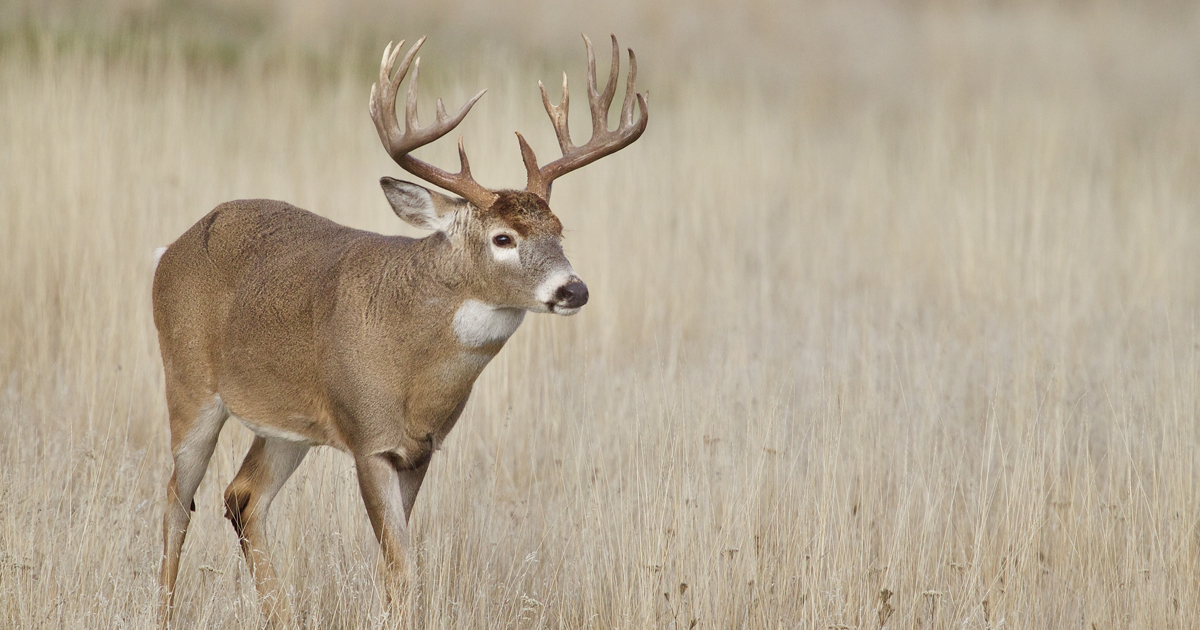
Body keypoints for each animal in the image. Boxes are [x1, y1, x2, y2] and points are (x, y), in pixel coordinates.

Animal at [156, 35, 652, 628]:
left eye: (558, 230)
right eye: (503, 238)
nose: (573, 290)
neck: (413, 364)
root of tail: (170, 250)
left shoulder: (420, 450)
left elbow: (393, 567)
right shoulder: (370, 439)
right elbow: (401, 567)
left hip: (285, 424)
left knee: (243, 496)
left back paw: (281, 614)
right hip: (188, 384)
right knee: (176, 500)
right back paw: (163, 611)